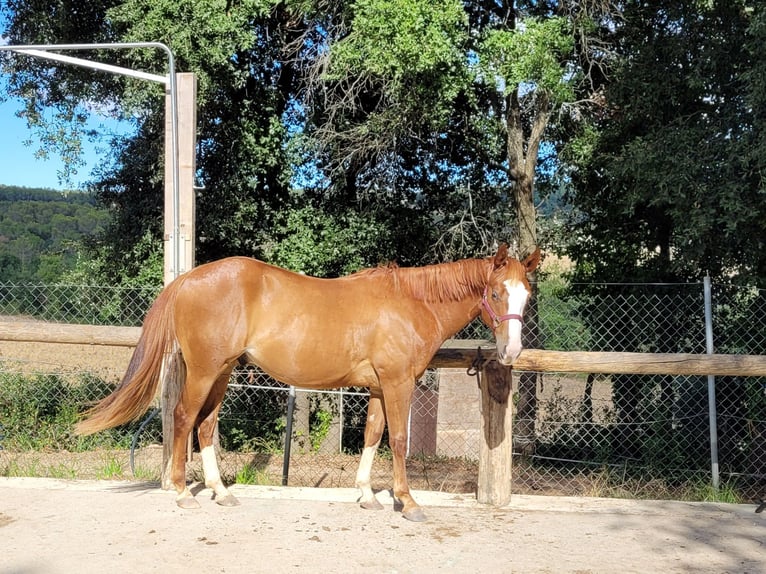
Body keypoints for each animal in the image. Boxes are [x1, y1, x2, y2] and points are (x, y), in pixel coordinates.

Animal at [75, 245, 536, 524]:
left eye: (526, 294)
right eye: (497, 292)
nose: (511, 351)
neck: (410, 303)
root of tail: (188, 279)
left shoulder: (377, 387)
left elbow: (372, 435)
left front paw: (366, 494)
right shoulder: (397, 382)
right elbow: (399, 440)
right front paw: (408, 502)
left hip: (222, 372)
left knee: (205, 425)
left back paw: (220, 491)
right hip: (205, 371)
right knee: (184, 417)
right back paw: (181, 492)